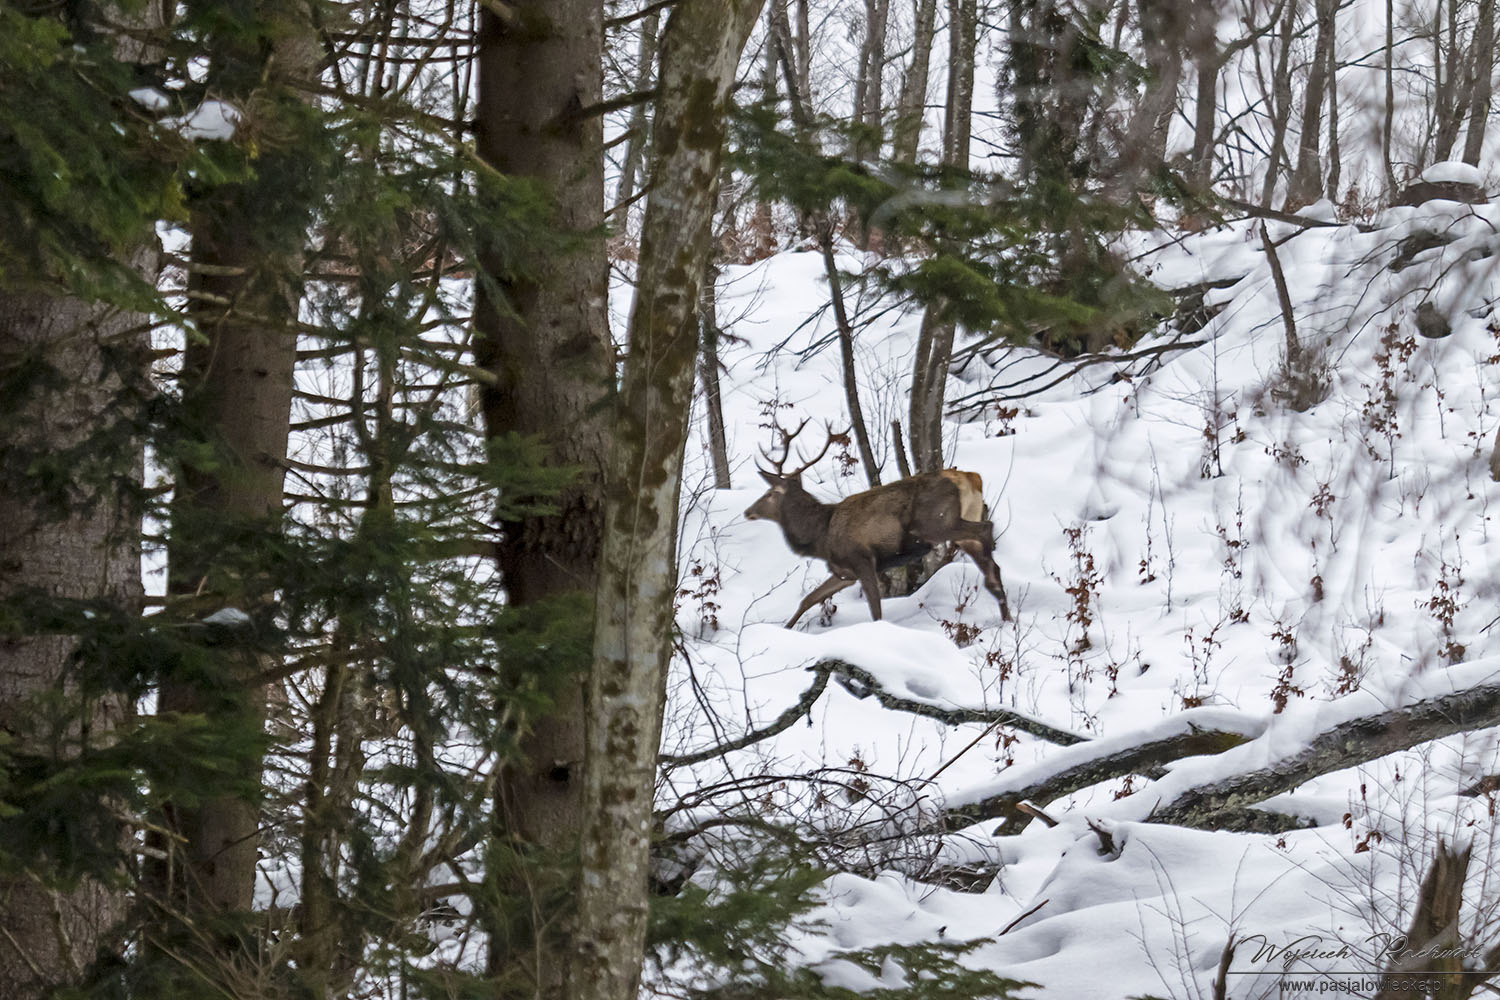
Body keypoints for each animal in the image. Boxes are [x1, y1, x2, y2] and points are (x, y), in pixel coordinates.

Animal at [743, 419, 1011, 628]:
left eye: (769, 493)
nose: (748, 511)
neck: (821, 537)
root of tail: (971, 478)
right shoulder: (844, 573)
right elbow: (808, 599)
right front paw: (787, 629)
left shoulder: (862, 559)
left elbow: (875, 609)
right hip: (961, 524)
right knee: (985, 551)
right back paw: (1005, 612)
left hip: (936, 523)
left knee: (986, 528)